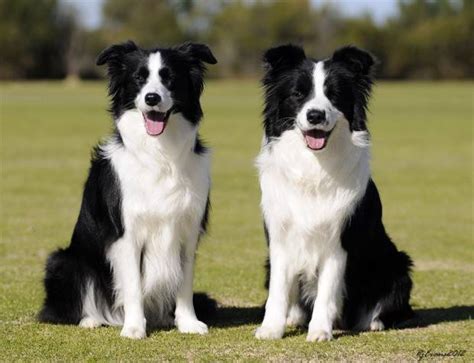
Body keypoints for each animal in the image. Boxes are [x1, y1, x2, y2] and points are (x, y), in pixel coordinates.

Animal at [39, 41, 218, 340]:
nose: (152, 98)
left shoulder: (188, 230)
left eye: (169, 77)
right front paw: (134, 327)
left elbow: (184, 284)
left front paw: (188, 323)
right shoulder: (126, 234)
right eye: (138, 78)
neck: (160, 153)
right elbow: (133, 284)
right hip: (65, 261)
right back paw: (91, 320)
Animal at [254, 44, 412, 342]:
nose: (315, 115)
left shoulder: (338, 242)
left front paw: (319, 331)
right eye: (298, 94)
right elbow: (278, 291)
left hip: (397, 265)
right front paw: (271, 328)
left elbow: (327, 292)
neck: (313, 166)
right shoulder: (280, 239)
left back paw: (372, 322)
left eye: (334, 95)